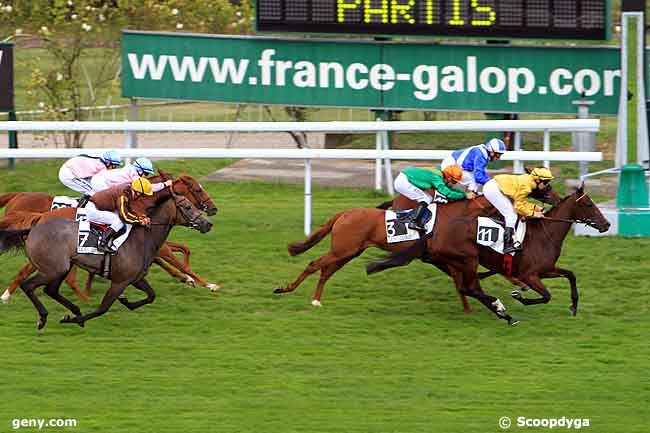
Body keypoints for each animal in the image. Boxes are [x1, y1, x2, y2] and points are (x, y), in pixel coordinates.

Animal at [0, 188, 211, 328]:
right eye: (187, 207)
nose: (208, 224)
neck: (142, 238)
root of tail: (34, 226)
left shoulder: (135, 278)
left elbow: (151, 296)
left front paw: (127, 302)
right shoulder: (120, 281)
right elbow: (103, 308)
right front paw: (74, 320)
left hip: (62, 268)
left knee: (50, 290)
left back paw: (73, 309)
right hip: (53, 269)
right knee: (29, 285)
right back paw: (44, 316)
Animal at [272, 196, 496, 308]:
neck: (456, 216)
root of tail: (345, 213)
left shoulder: (437, 258)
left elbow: (460, 281)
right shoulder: (439, 255)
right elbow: (462, 280)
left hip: (348, 252)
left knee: (325, 271)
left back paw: (316, 300)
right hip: (342, 250)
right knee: (314, 265)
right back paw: (286, 289)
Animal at [368, 184, 612, 322]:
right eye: (589, 204)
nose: (607, 224)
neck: (544, 234)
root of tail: (435, 232)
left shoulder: (546, 270)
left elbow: (571, 275)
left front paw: (574, 306)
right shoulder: (529, 275)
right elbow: (546, 296)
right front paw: (519, 297)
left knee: (467, 287)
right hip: (469, 258)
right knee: (468, 287)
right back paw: (501, 310)